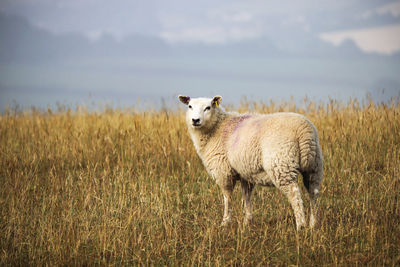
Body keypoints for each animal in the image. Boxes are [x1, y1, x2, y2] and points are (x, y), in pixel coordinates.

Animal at [180, 95, 324, 231]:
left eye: (208, 107)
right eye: (190, 106)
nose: (195, 120)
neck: (216, 129)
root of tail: (304, 131)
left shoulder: (223, 171)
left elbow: (227, 197)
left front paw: (225, 222)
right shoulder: (245, 173)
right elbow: (246, 197)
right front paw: (247, 222)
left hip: (282, 165)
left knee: (295, 194)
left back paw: (301, 226)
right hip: (314, 165)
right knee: (314, 192)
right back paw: (314, 224)